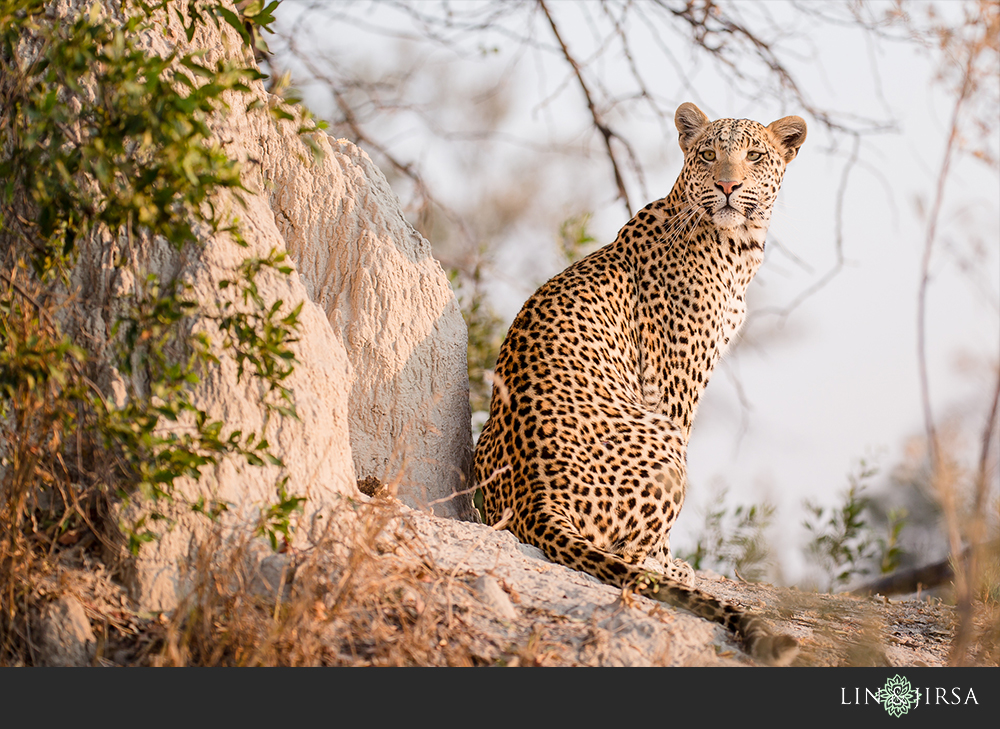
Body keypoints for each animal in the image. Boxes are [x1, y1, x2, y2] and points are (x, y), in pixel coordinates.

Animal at [472, 102, 808, 664]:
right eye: (708, 154)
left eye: (755, 156)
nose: (728, 186)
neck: (739, 244)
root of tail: (536, 497)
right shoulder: (674, 381)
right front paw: (672, 561)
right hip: (665, 447)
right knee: (625, 549)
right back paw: (662, 563)